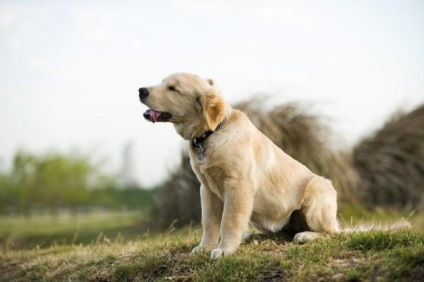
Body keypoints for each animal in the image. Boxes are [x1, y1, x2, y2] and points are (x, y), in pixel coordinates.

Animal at [138, 73, 338, 260]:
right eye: (162, 82)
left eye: (173, 88)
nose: (141, 90)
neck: (212, 133)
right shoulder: (207, 189)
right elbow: (208, 221)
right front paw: (205, 247)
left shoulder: (237, 185)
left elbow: (229, 220)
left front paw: (224, 250)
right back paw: (251, 236)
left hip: (316, 194)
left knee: (332, 233)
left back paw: (306, 235)